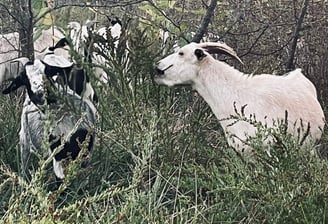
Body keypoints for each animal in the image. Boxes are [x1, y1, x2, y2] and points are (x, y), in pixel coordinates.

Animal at [2, 56, 97, 184]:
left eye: (47, 71)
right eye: (24, 79)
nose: (39, 94)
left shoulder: (85, 151)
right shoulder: (57, 155)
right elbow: (60, 180)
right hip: (25, 141)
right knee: (24, 165)